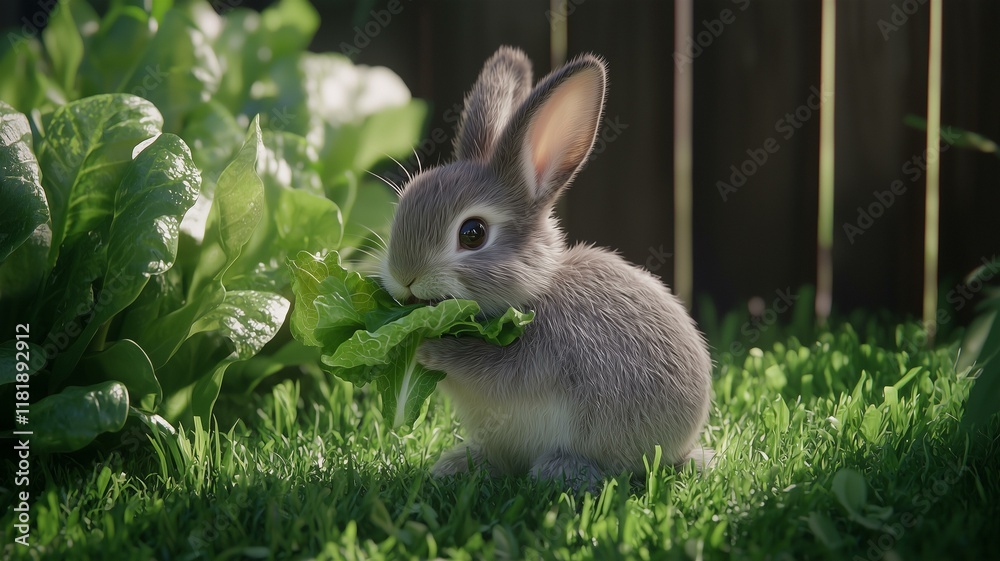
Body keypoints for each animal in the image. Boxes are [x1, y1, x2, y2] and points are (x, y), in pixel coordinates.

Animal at [379, 46, 713, 488]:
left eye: (472, 233)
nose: (404, 277)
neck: (534, 291)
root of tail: (684, 447)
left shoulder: (543, 354)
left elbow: (491, 367)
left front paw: (428, 348)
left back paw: (560, 471)